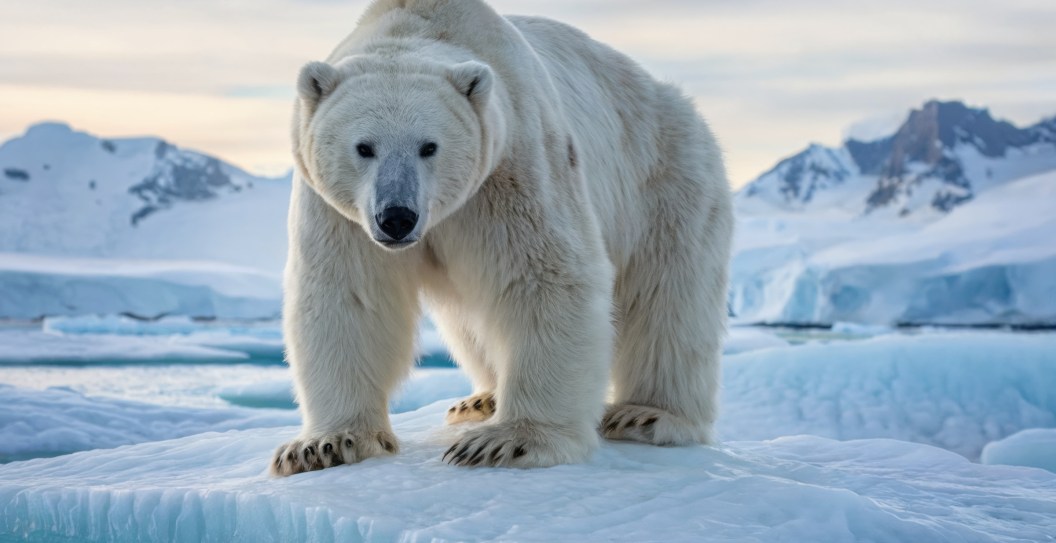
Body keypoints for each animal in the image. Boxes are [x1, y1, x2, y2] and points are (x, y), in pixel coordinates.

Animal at [271, 0, 733, 476]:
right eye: (364, 147)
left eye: (429, 146)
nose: (397, 217)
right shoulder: (339, 213)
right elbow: (348, 294)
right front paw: (325, 445)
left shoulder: (513, 166)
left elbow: (545, 278)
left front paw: (507, 441)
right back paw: (482, 400)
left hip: (665, 180)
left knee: (667, 300)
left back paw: (647, 414)